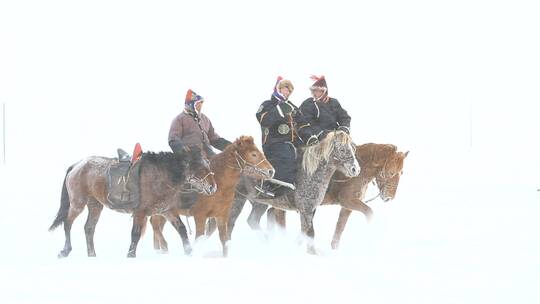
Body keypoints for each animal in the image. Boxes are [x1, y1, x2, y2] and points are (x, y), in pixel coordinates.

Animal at [48, 148, 216, 258]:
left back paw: (92, 255)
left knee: (89, 228)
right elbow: (135, 234)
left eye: (208, 164)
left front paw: (189, 252)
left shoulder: (167, 210)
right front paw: (131, 255)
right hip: (78, 203)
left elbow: (181, 229)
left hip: (95, 205)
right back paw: (65, 250)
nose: (213, 187)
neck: (160, 175)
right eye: (199, 168)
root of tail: (77, 165)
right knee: (68, 223)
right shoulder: (140, 212)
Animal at [152, 131, 360, 254]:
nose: (355, 169)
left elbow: (306, 230)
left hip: (257, 203)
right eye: (343, 149)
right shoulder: (306, 209)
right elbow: (309, 231)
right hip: (239, 202)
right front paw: (311, 252)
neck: (309, 172)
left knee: (248, 221)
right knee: (229, 225)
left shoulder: (309, 209)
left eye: (352, 148)